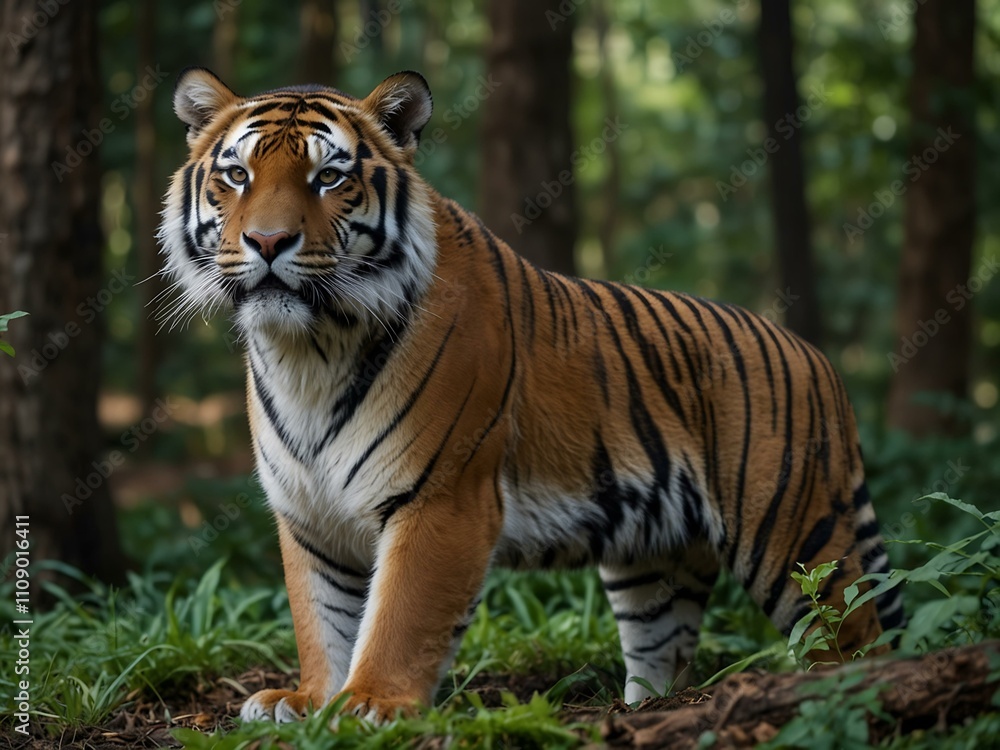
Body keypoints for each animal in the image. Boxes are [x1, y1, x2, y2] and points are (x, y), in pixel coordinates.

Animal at [159, 67, 904, 724]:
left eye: (329, 177)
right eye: (237, 175)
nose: (267, 240)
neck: (306, 350)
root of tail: (817, 358)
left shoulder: (442, 496)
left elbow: (399, 616)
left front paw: (371, 704)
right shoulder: (308, 515)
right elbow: (321, 618)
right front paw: (309, 700)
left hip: (799, 533)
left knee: (858, 636)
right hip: (652, 561)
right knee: (665, 652)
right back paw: (644, 711)